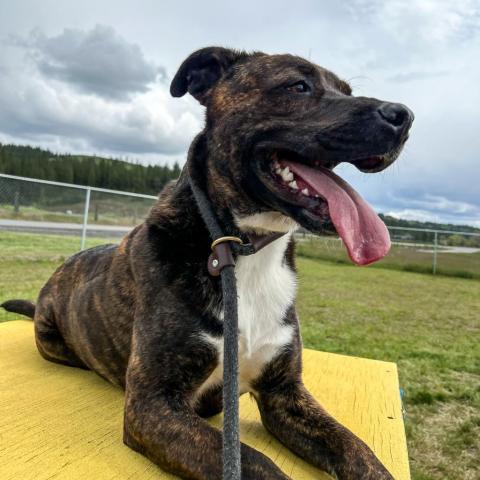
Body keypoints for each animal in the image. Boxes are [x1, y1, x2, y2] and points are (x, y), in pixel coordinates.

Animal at [1, 46, 412, 480]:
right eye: (298, 86)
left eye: (347, 90)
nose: (404, 116)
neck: (242, 247)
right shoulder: (154, 405)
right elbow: (257, 462)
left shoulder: (283, 393)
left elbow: (356, 448)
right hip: (53, 340)